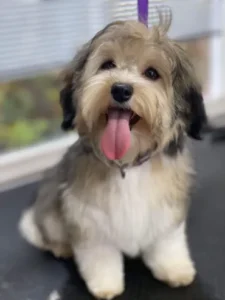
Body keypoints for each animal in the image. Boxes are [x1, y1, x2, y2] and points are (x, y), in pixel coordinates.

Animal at [18, 17, 207, 298]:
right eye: (107, 65)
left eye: (152, 73)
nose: (120, 89)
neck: (128, 164)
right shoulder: (89, 221)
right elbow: (100, 257)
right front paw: (105, 285)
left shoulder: (165, 213)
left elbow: (166, 244)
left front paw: (175, 269)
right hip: (51, 212)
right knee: (47, 235)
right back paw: (61, 247)